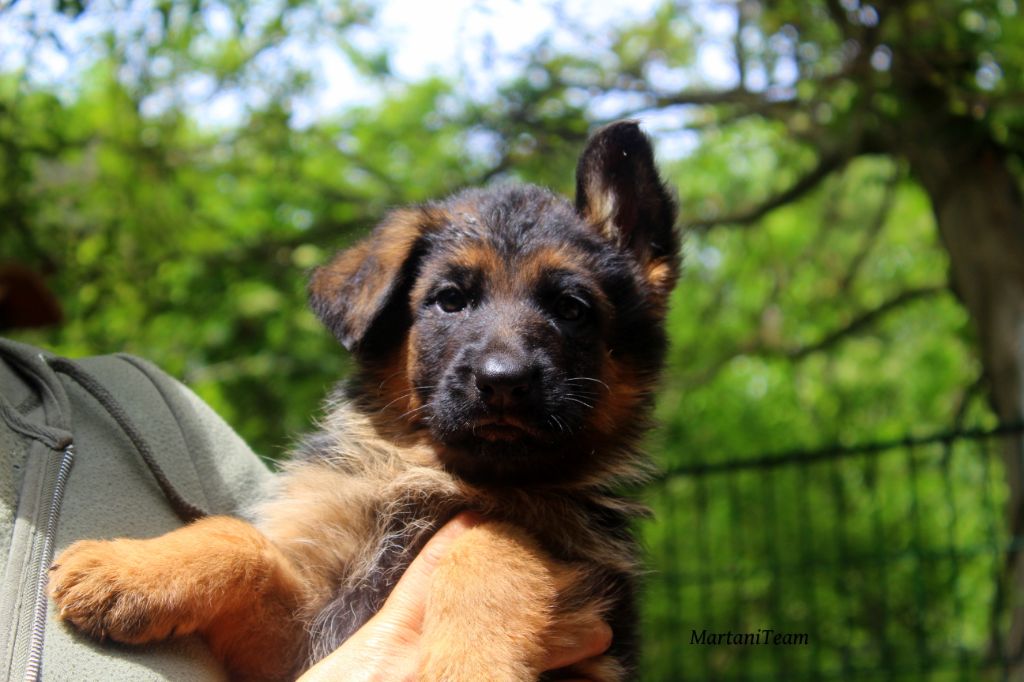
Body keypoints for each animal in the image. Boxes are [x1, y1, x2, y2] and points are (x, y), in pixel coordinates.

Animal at [48, 122, 679, 679]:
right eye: (450, 301)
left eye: (572, 309)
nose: (504, 381)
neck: (443, 477)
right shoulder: (297, 638)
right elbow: (238, 540)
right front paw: (124, 570)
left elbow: (491, 543)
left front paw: (468, 665)